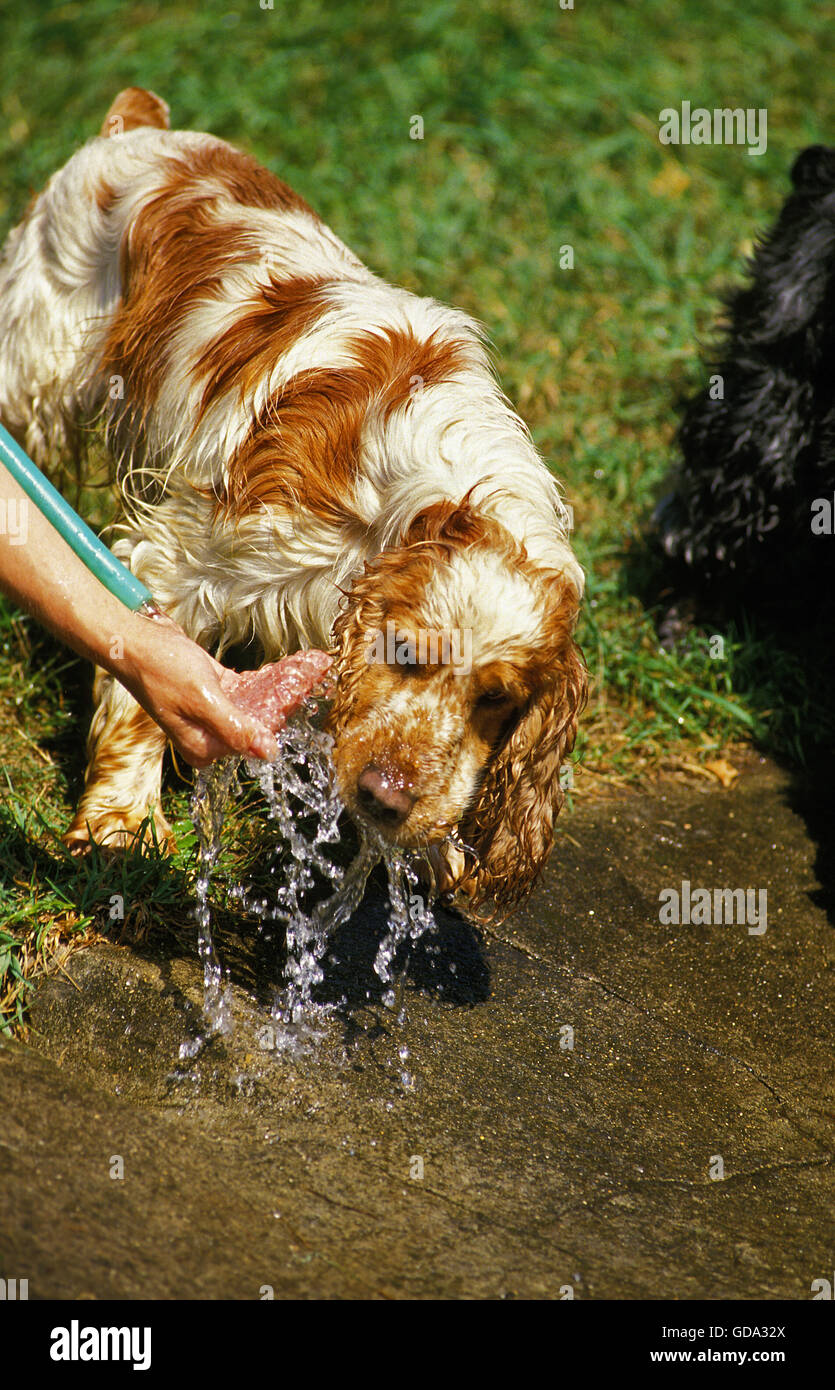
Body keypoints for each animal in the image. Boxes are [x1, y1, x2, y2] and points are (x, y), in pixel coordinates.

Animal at [0, 86, 586, 911]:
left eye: (496, 700)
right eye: (402, 652)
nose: (385, 798)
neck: (426, 501)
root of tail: (141, 125)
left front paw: (433, 847)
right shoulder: (183, 560)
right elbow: (141, 695)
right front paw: (122, 823)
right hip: (32, 374)